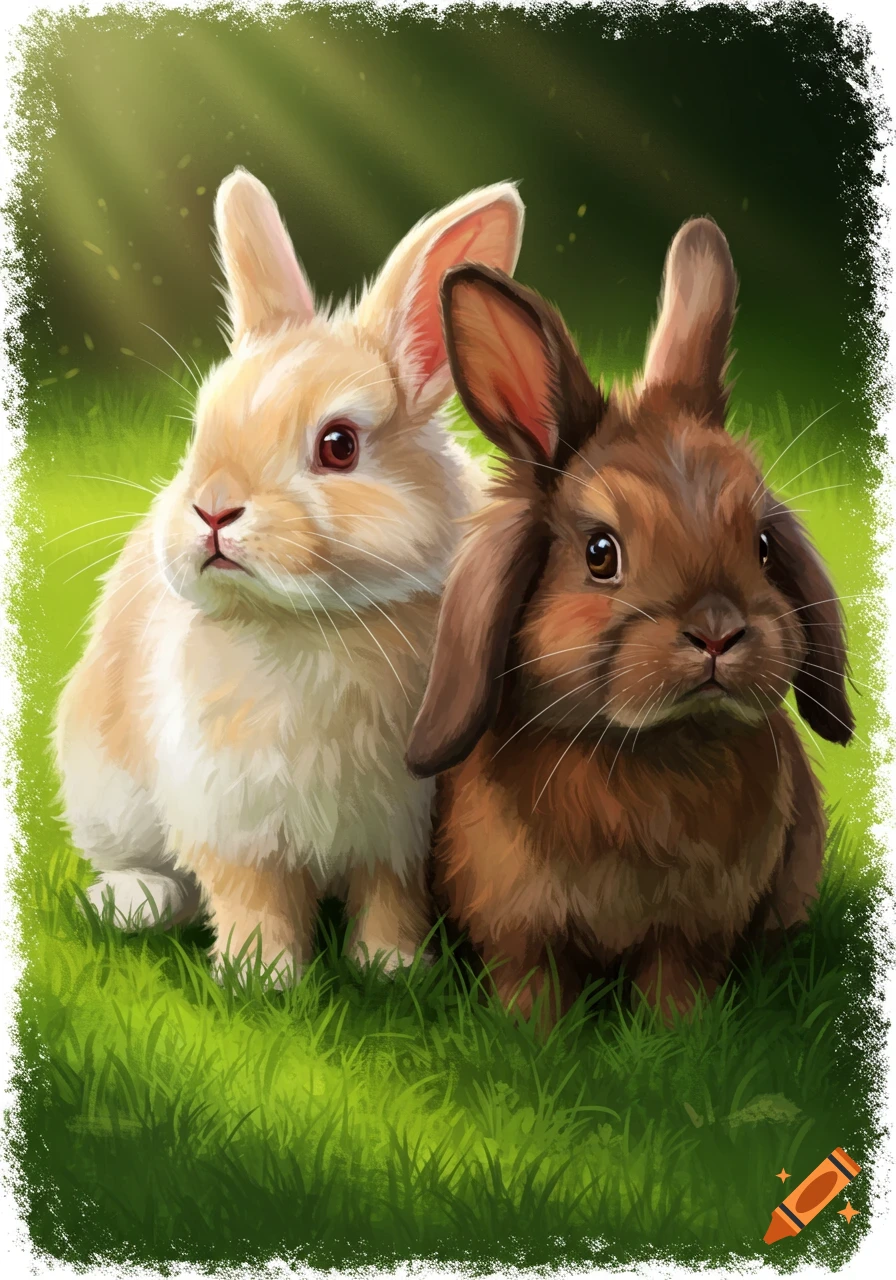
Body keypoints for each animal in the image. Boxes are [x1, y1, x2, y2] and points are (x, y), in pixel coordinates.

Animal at [54, 166, 525, 984]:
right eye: (200, 431)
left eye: (339, 446)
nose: (212, 510)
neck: (314, 623)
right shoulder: (228, 812)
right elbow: (251, 894)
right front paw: (260, 977)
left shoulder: (401, 826)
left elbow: (390, 894)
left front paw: (392, 970)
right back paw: (136, 901)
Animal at [405, 218, 853, 1026]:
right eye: (600, 553)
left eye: (761, 546)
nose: (717, 630)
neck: (644, 756)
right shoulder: (520, 927)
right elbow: (532, 985)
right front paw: (533, 1039)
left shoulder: (693, 932)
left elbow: (673, 984)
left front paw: (679, 1040)